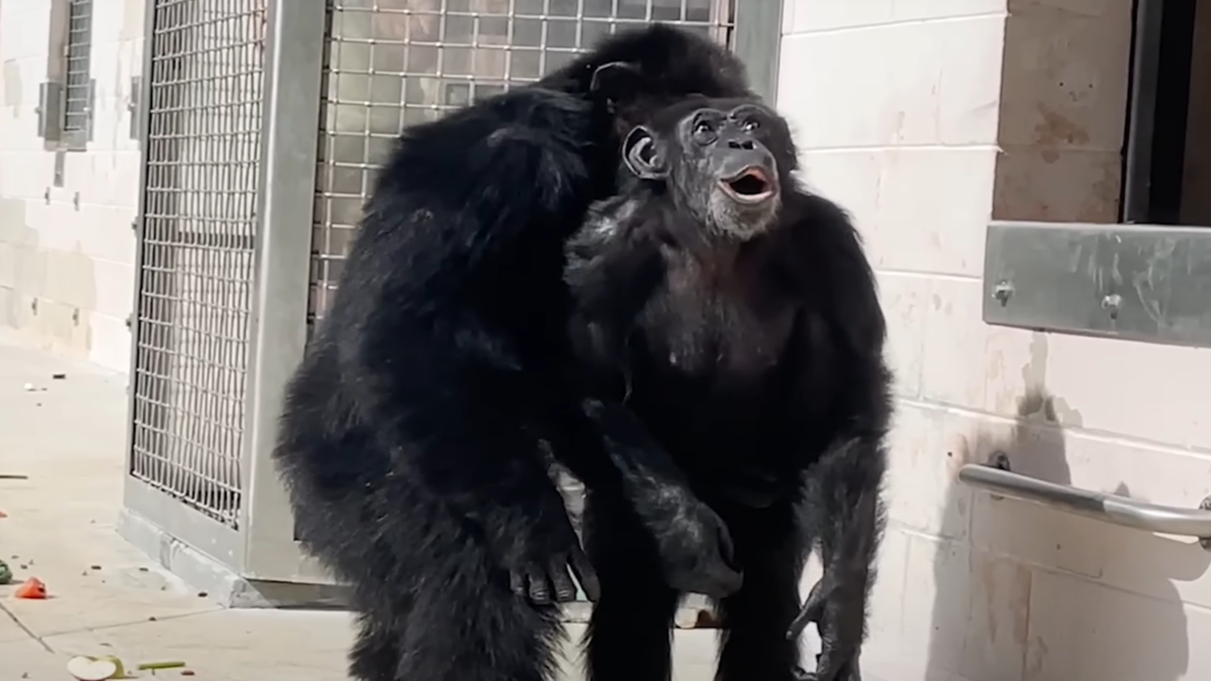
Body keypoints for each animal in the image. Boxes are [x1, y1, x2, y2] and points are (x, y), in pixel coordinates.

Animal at [270, 23, 750, 678]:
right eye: (701, 125)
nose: (738, 149)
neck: (590, 155)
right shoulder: (495, 167)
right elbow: (408, 327)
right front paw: (532, 526)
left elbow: (571, 378)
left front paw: (684, 527)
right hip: (361, 487)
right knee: (473, 587)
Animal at [564, 96, 891, 678]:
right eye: (706, 130)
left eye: (752, 123)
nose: (741, 142)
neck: (713, 239)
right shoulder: (599, 251)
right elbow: (593, 381)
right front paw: (689, 537)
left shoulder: (832, 244)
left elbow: (853, 401)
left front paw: (839, 608)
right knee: (631, 606)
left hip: (764, 497)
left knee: (765, 602)